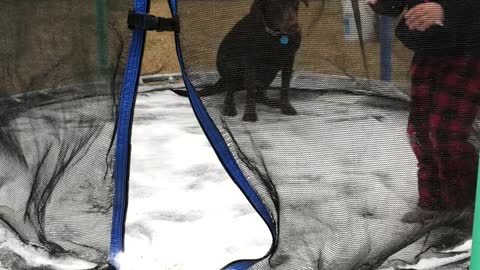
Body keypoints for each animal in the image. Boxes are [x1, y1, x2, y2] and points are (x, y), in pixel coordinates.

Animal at [174, 0, 310, 121]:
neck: (275, 36)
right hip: (231, 67)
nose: (294, 28)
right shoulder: (250, 63)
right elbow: (250, 91)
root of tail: (221, 80)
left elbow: (285, 87)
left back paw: (272, 102)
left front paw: (286, 107)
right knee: (230, 93)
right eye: (277, 4)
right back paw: (229, 108)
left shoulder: (289, 61)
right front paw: (249, 114)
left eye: (295, 4)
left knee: (259, 95)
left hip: (269, 74)